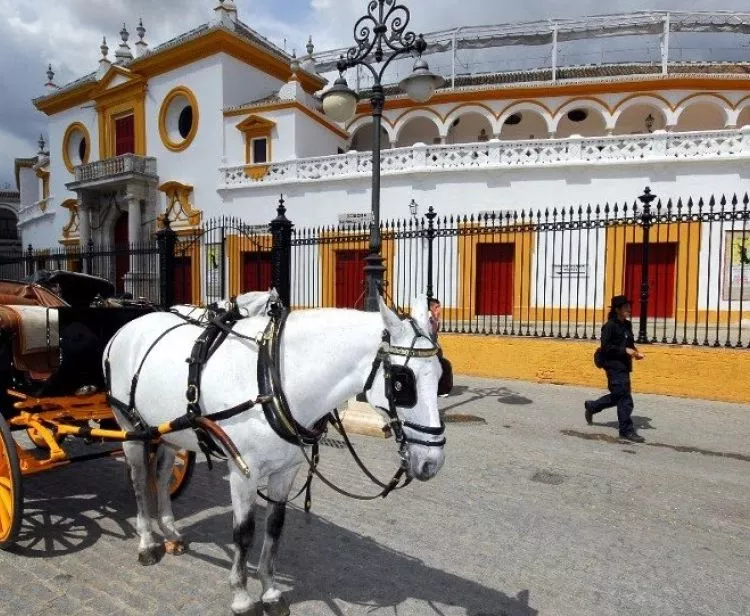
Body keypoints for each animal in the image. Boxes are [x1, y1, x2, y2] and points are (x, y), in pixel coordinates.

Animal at [106, 294, 446, 616]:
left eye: (441, 375)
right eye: (402, 383)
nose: (432, 463)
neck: (272, 382)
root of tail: (125, 328)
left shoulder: (286, 470)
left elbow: (275, 528)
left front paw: (269, 591)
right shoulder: (243, 472)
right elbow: (244, 533)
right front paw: (242, 597)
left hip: (167, 431)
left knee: (162, 474)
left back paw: (169, 529)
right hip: (130, 429)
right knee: (140, 480)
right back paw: (147, 541)